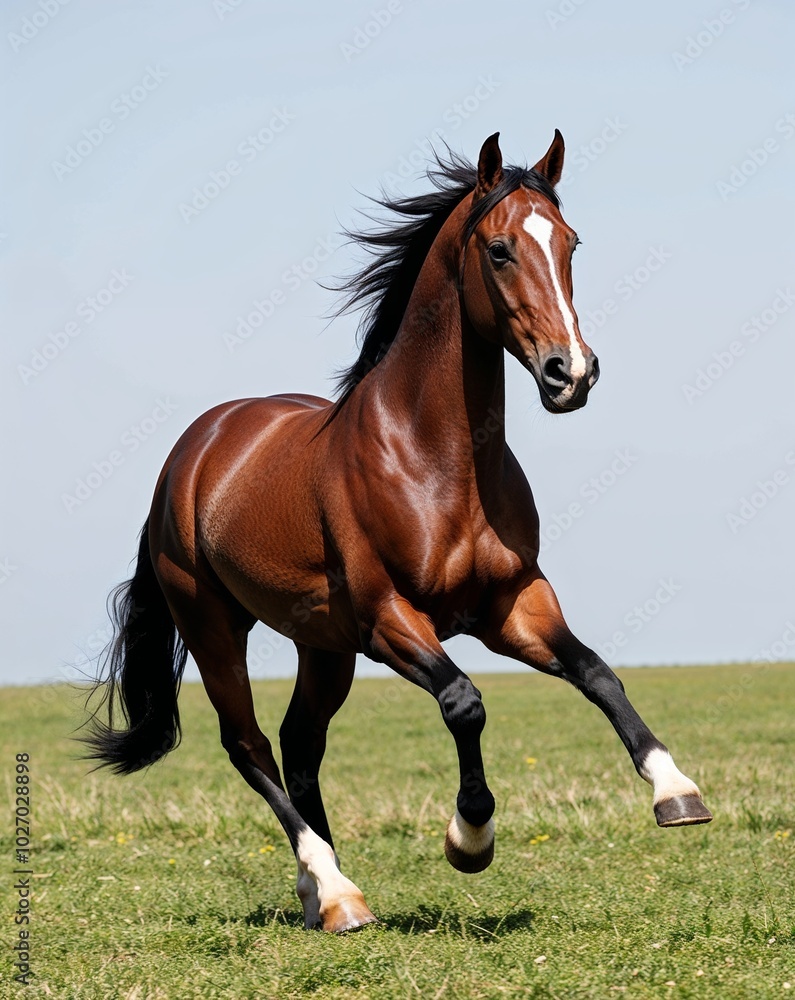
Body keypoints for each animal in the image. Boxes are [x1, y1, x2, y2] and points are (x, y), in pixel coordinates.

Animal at [83, 131, 712, 934]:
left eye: (570, 242)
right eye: (500, 249)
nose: (570, 373)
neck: (435, 461)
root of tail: (193, 452)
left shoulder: (513, 604)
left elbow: (597, 673)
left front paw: (675, 790)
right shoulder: (390, 620)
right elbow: (465, 703)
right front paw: (469, 837)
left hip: (322, 646)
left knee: (299, 743)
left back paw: (321, 891)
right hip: (213, 626)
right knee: (249, 744)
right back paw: (336, 890)